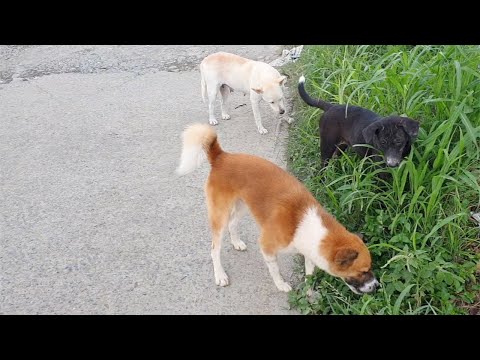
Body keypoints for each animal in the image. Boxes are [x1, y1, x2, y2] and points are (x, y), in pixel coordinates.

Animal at [175, 124, 378, 296]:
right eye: (363, 271)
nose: (377, 286)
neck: (303, 222)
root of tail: (221, 156)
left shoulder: (309, 250)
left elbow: (309, 272)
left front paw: (309, 291)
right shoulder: (267, 247)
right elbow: (275, 270)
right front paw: (281, 284)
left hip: (242, 206)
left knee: (233, 224)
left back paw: (237, 242)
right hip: (220, 215)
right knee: (214, 249)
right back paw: (220, 275)